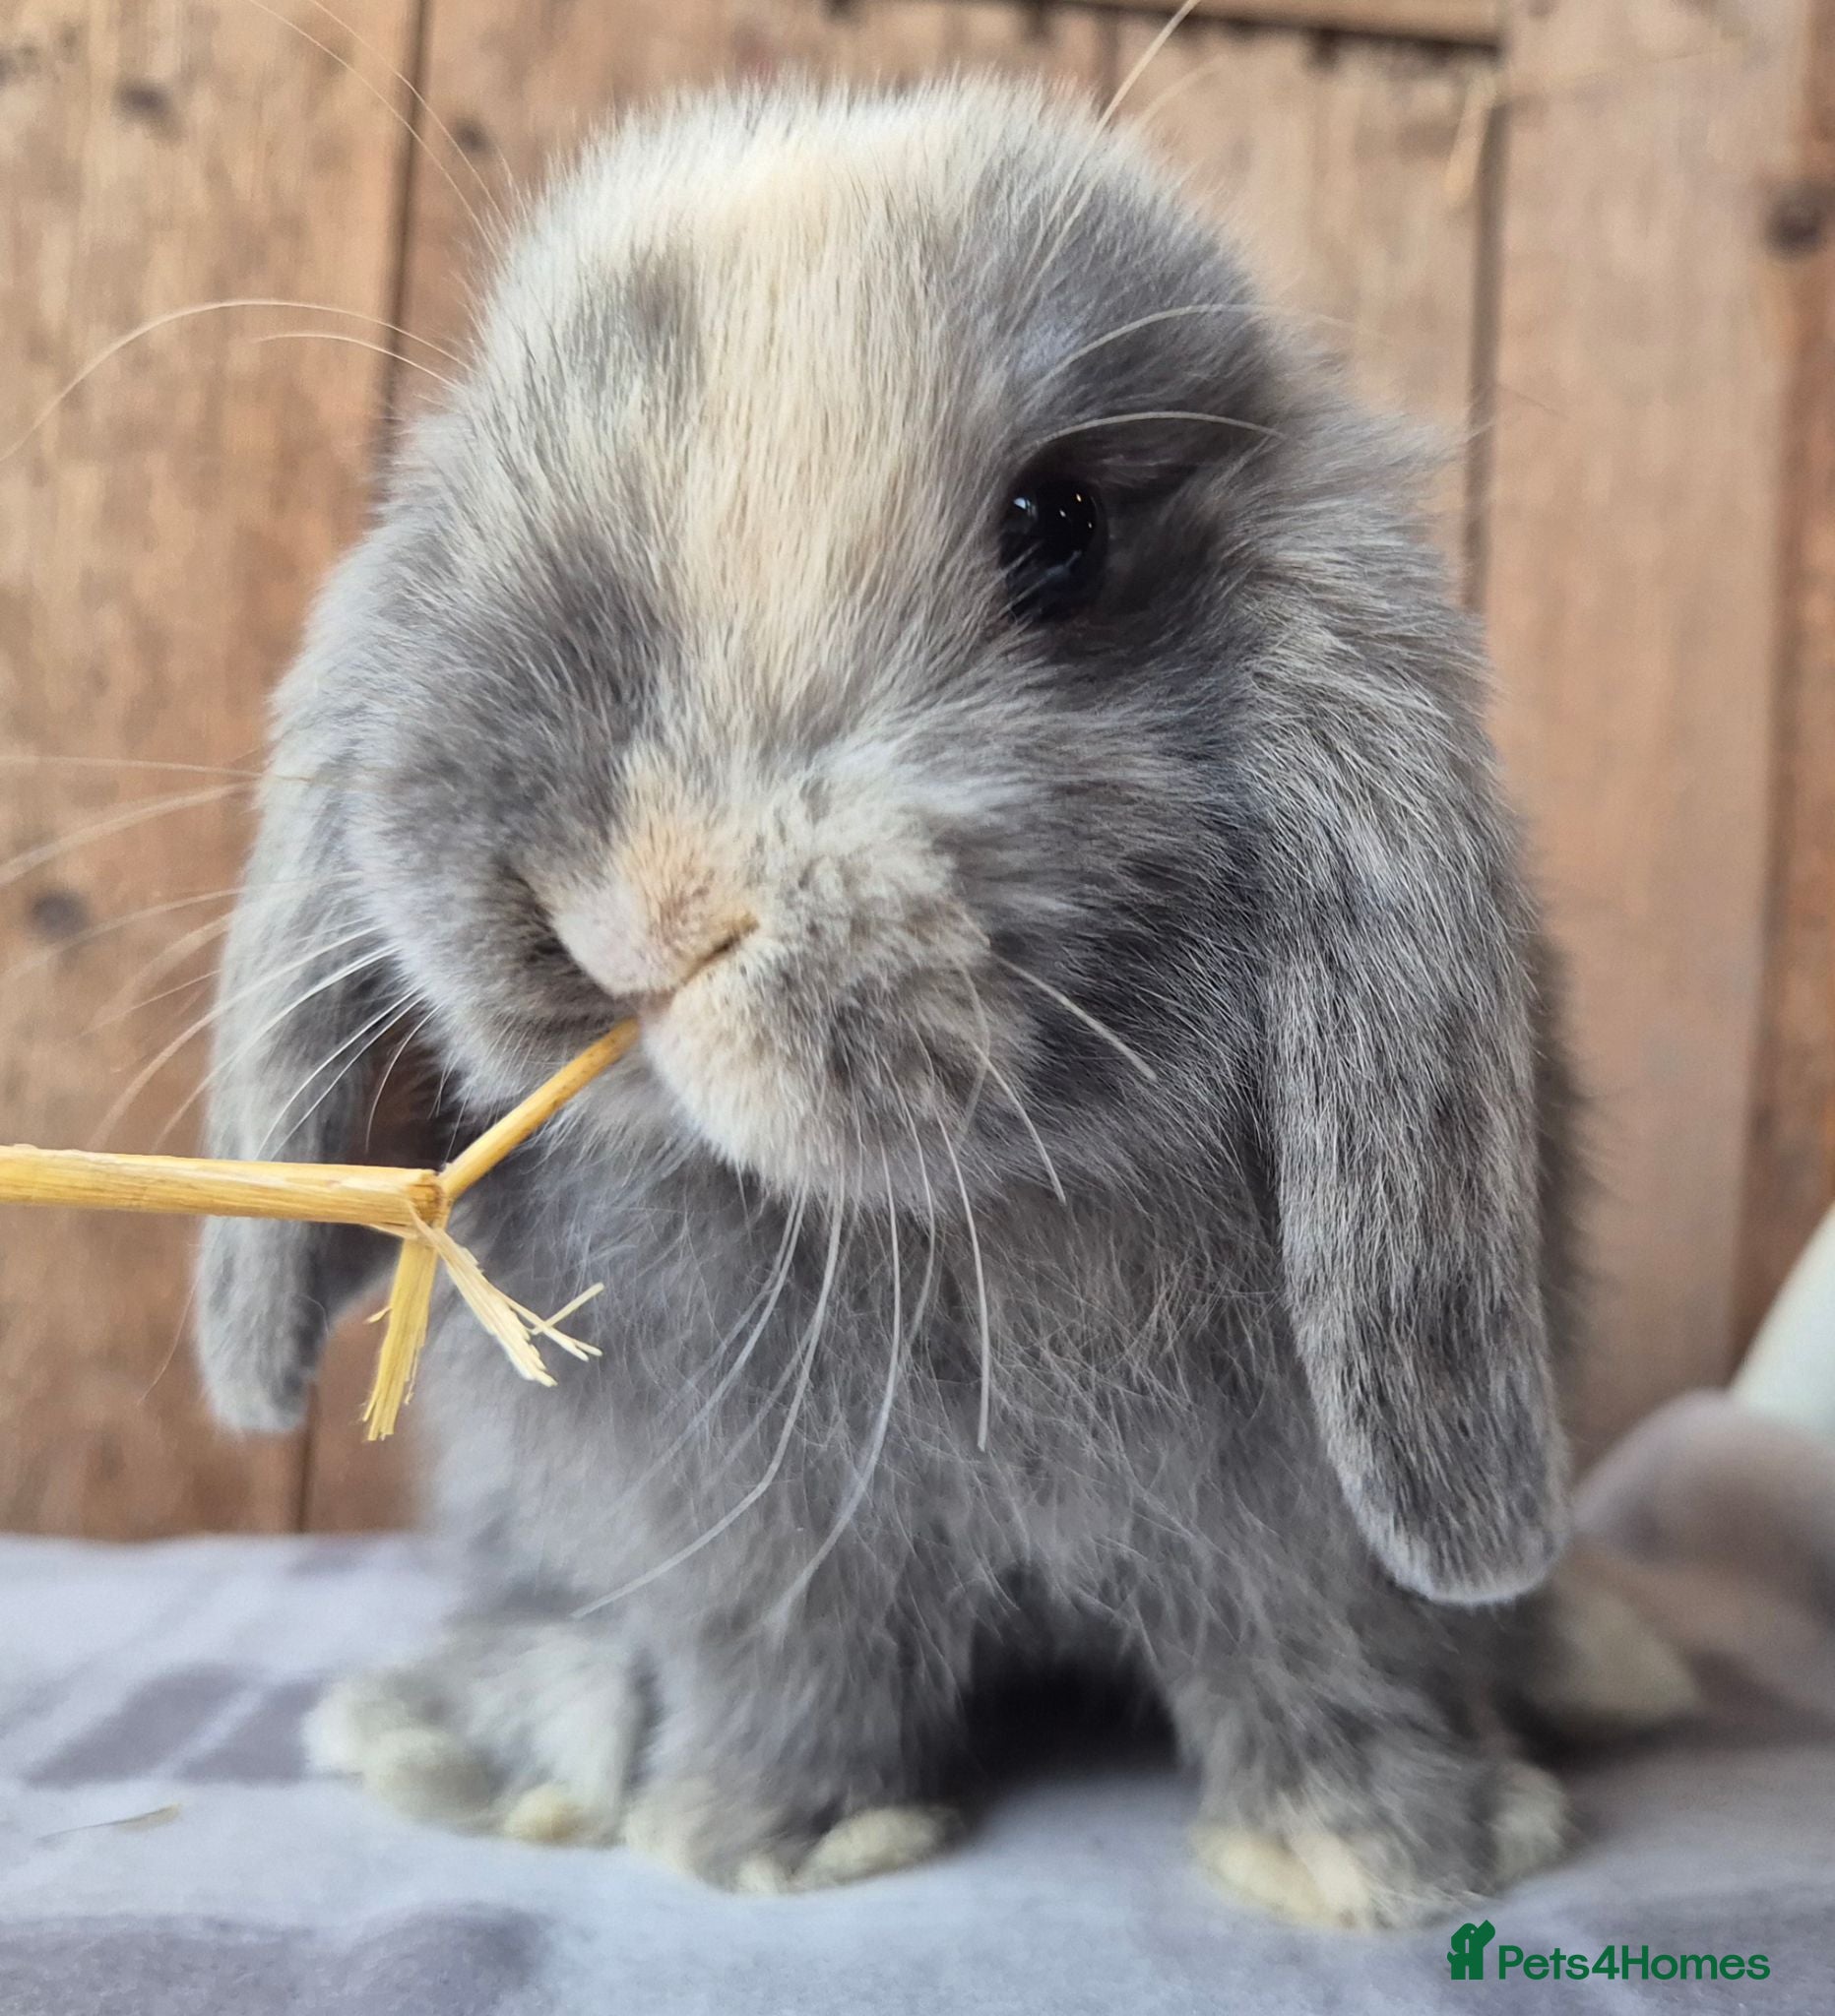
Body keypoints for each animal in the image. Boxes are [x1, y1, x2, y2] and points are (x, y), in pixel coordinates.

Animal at [194, 74, 1629, 1928]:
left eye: (1059, 530)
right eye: (511, 470)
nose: (649, 904)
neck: (949, 1219)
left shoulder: (1313, 1523)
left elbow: (1328, 1647)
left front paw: (1384, 1854)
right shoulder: (757, 1534)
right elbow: (792, 1659)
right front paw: (770, 1837)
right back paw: (470, 1735)